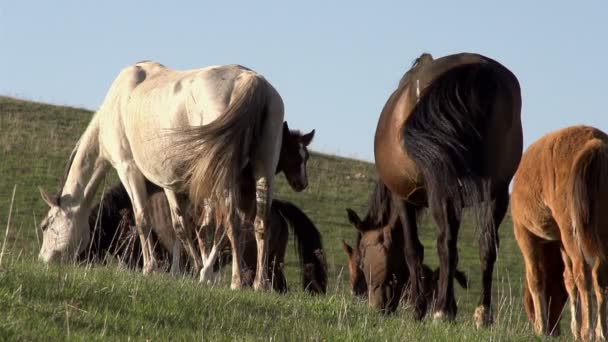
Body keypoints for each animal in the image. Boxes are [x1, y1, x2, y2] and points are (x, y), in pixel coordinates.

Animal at [37, 61, 284, 288]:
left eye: (45, 225)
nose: (43, 260)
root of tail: (251, 80)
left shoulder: (128, 169)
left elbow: (143, 219)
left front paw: (151, 268)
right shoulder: (169, 183)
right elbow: (182, 226)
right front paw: (189, 271)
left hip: (223, 178)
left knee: (232, 222)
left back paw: (235, 281)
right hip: (263, 171)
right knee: (259, 223)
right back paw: (258, 283)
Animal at [360, 51, 524, 326]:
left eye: (362, 255)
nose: (374, 305)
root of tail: (478, 67)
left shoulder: (403, 197)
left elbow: (413, 249)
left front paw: (418, 309)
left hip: (441, 188)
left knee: (445, 241)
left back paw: (441, 311)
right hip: (498, 190)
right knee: (487, 245)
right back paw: (482, 313)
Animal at [510, 125, 608, 340]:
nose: (554, 331)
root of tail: (594, 143)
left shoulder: (525, 234)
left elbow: (536, 278)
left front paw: (541, 328)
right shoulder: (562, 243)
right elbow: (568, 280)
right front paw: (575, 330)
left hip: (571, 233)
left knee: (584, 274)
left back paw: (589, 331)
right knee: (599, 275)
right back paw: (600, 332)